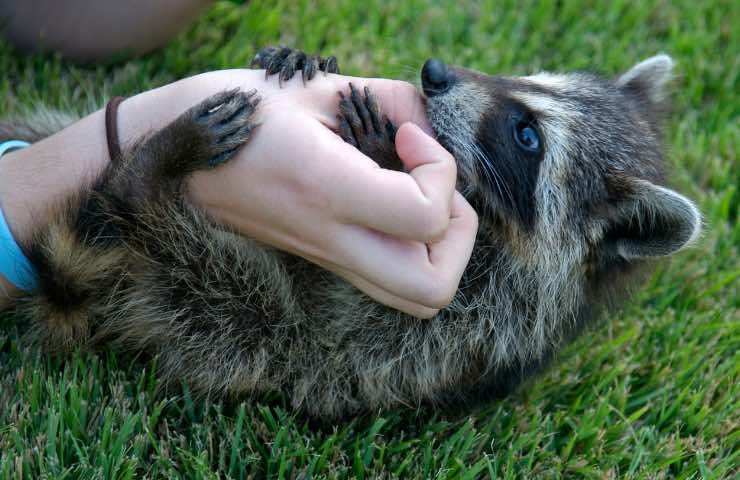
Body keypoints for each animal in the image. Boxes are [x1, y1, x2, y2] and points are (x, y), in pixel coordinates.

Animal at [4, 47, 700, 418]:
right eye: (528, 81)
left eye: (526, 135)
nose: (436, 72)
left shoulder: (483, 322)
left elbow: (368, 325)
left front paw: (386, 155)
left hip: (228, 326)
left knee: (226, 299)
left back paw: (146, 178)